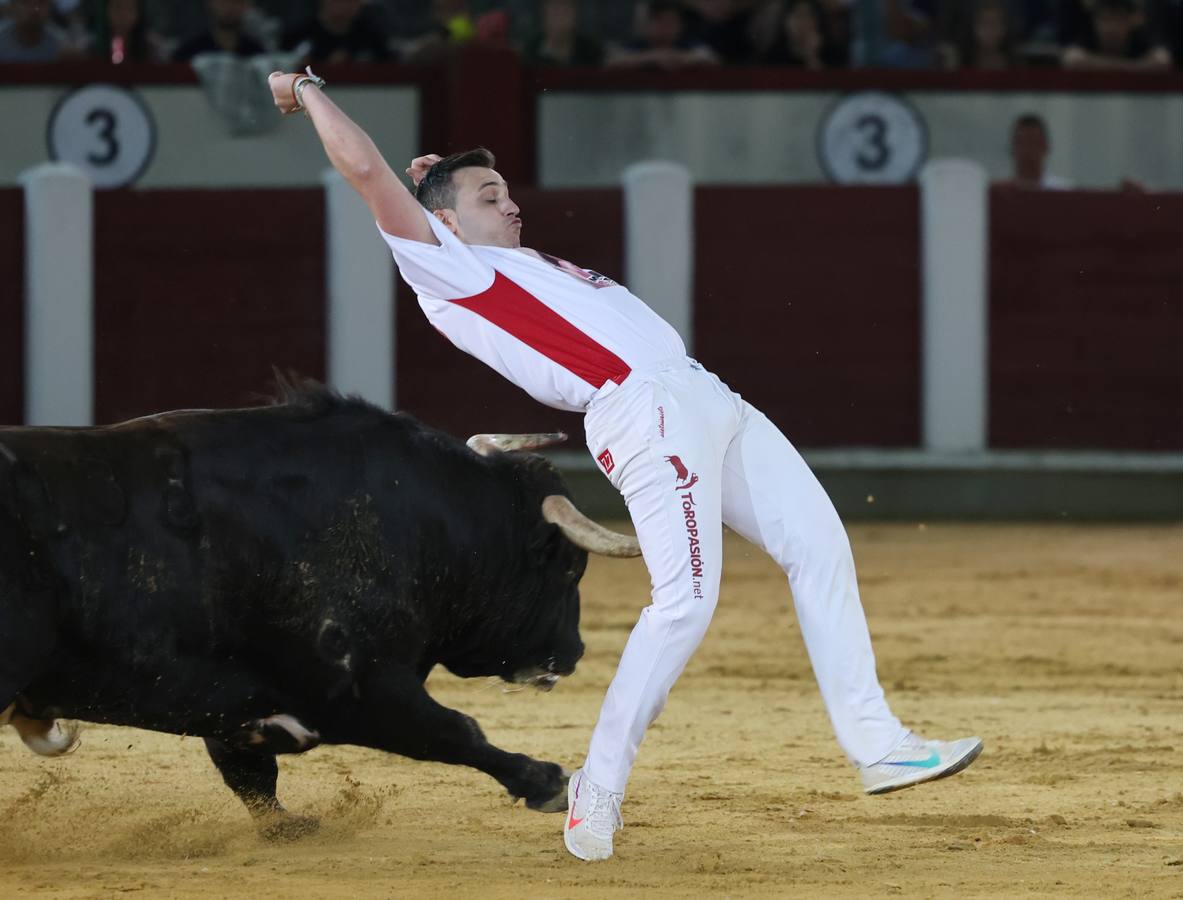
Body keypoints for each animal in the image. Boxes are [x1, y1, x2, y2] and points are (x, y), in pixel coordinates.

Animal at [0, 378, 638, 837]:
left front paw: (289, 826)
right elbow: (457, 732)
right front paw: (547, 782)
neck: (420, 525)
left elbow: (251, 775)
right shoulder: (360, 690)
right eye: (569, 568)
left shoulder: (229, 703)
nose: (573, 651)